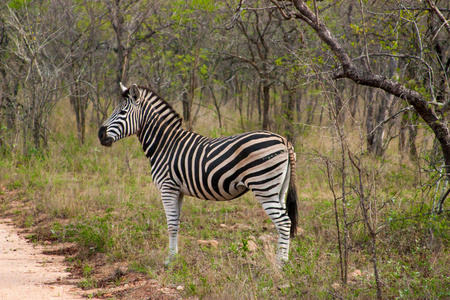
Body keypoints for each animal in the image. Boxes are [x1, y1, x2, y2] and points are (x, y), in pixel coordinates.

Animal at [99, 84, 298, 268]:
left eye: (123, 112)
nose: (100, 135)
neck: (164, 144)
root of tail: (284, 140)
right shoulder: (178, 191)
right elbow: (176, 223)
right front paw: (175, 256)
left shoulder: (167, 187)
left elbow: (171, 225)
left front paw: (169, 261)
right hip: (278, 189)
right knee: (284, 222)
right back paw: (282, 260)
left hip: (263, 186)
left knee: (284, 222)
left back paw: (281, 264)